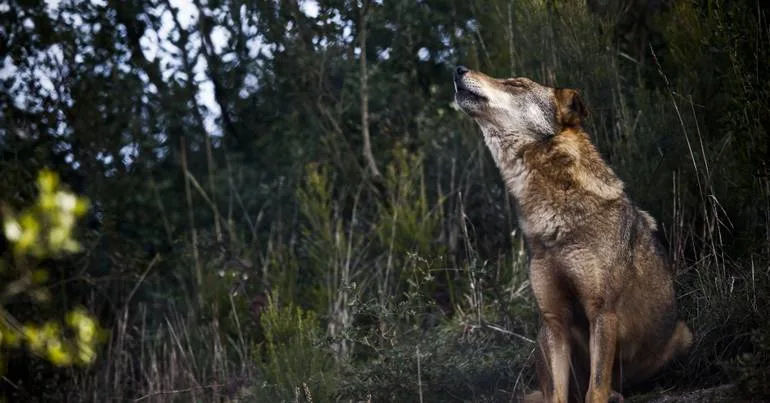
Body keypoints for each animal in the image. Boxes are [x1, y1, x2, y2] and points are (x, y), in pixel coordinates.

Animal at [452, 66, 692, 403]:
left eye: (516, 84)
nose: (459, 69)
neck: (553, 221)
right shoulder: (556, 321)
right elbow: (557, 394)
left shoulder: (602, 312)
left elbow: (596, 388)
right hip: (543, 334)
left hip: (683, 335)